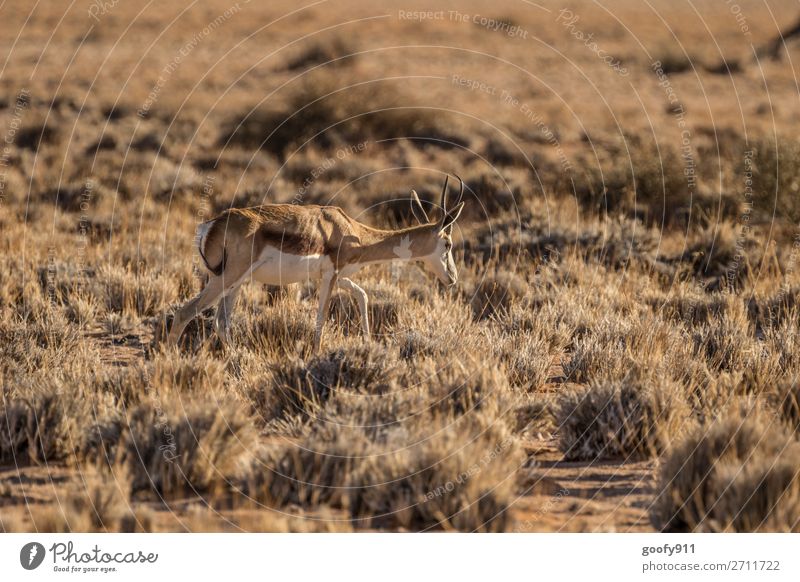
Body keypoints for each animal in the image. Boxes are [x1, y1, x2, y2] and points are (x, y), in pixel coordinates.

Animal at [167, 176, 468, 354]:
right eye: (448, 245)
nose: (452, 278)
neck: (352, 231)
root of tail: (210, 225)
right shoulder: (331, 276)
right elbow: (321, 315)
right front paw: (316, 354)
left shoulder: (338, 275)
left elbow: (362, 294)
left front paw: (368, 343)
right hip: (228, 278)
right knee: (185, 313)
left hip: (235, 283)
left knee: (221, 322)